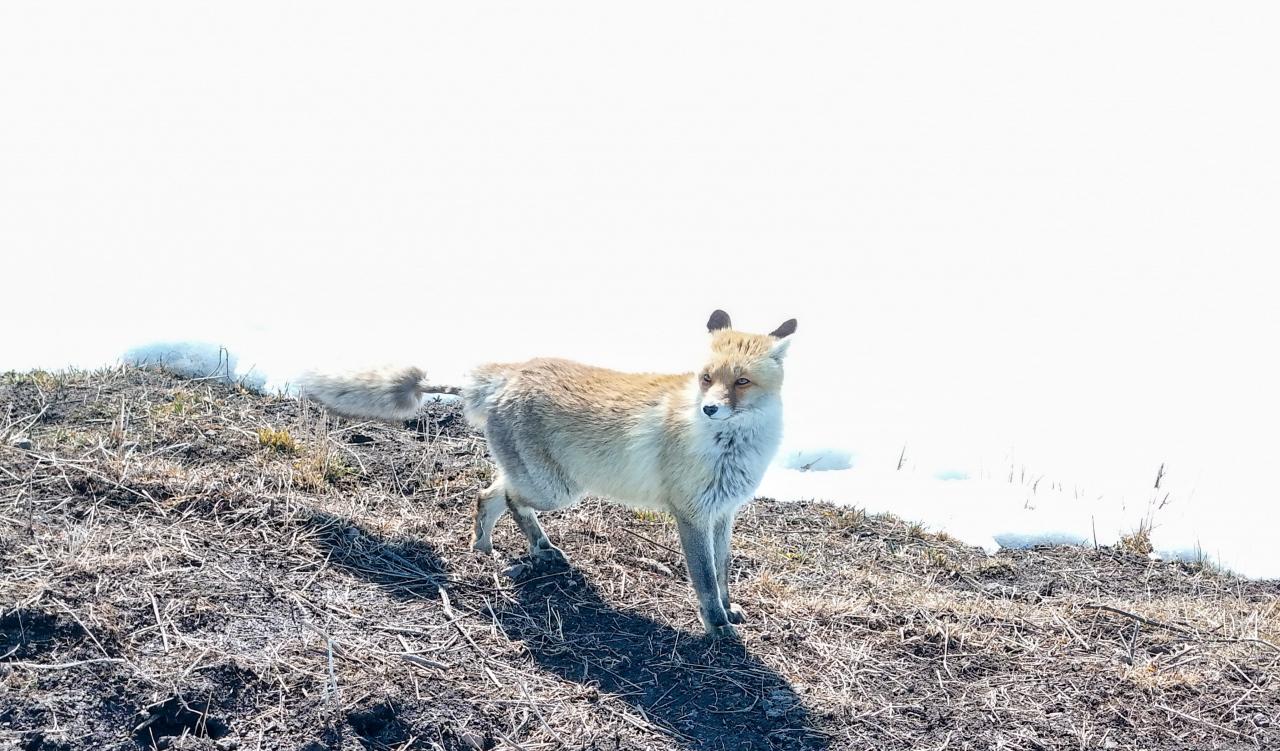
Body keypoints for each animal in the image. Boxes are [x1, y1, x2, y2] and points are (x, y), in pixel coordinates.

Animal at [303, 310, 793, 639]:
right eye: (706, 378)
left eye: (741, 382)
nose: (709, 409)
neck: (731, 448)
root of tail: (509, 372)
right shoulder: (690, 515)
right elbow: (705, 580)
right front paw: (716, 626)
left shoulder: (722, 513)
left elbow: (723, 571)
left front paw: (729, 610)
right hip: (556, 490)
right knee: (504, 498)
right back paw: (536, 548)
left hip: (542, 482)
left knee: (488, 494)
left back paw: (487, 547)